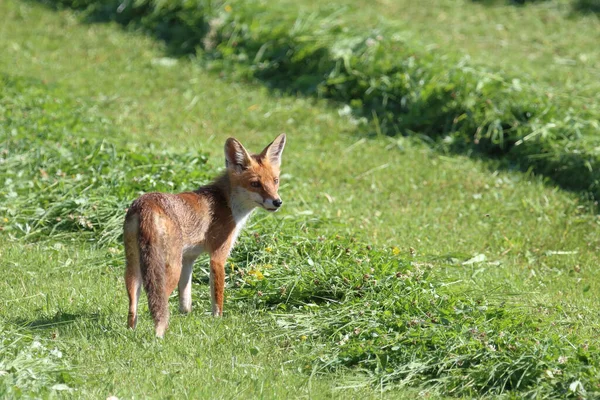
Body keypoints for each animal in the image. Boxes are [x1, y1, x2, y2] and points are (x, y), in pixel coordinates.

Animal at [122, 134, 286, 338]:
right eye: (255, 184)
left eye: (275, 181)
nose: (277, 202)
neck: (228, 203)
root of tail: (146, 204)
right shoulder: (218, 256)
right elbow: (218, 298)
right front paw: (218, 322)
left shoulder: (189, 258)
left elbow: (185, 301)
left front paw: (186, 317)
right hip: (170, 268)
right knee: (159, 303)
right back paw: (159, 336)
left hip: (134, 267)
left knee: (133, 307)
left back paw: (131, 332)